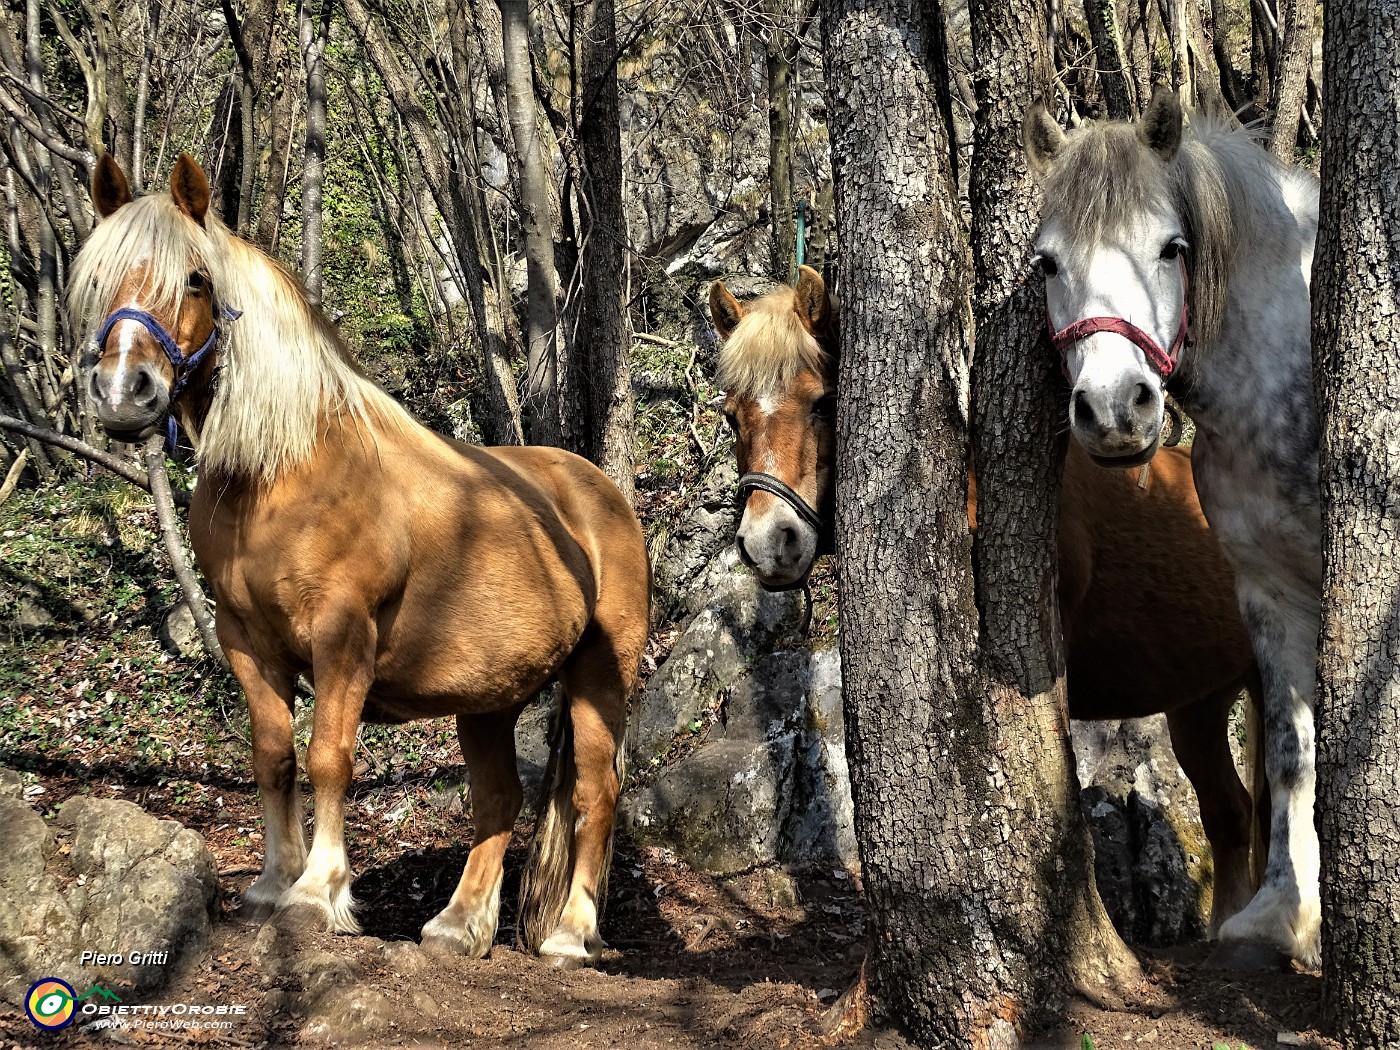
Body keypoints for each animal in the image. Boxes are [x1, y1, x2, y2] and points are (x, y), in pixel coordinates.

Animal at [69, 156, 649, 968]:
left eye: (196, 279)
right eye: (98, 278)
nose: (124, 393)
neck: (284, 472)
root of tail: (600, 491)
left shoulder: (343, 636)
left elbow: (328, 758)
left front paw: (318, 893)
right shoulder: (248, 641)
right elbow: (274, 755)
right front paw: (273, 884)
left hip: (601, 674)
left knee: (596, 795)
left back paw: (569, 933)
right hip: (488, 699)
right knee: (498, 802)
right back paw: (459, 923)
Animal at [711, 264, 1271, 935]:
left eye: (823, 402)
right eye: (732, 417)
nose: (768, 543)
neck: (974, 489)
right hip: (1200, 702)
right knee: (1232, 815)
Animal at [1024, 90, 1316, 968]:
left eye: (1171, 247)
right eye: (1047, 263)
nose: (1116, 408)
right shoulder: (1272, 590)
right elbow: (1290, 754)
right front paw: (1281, 918)